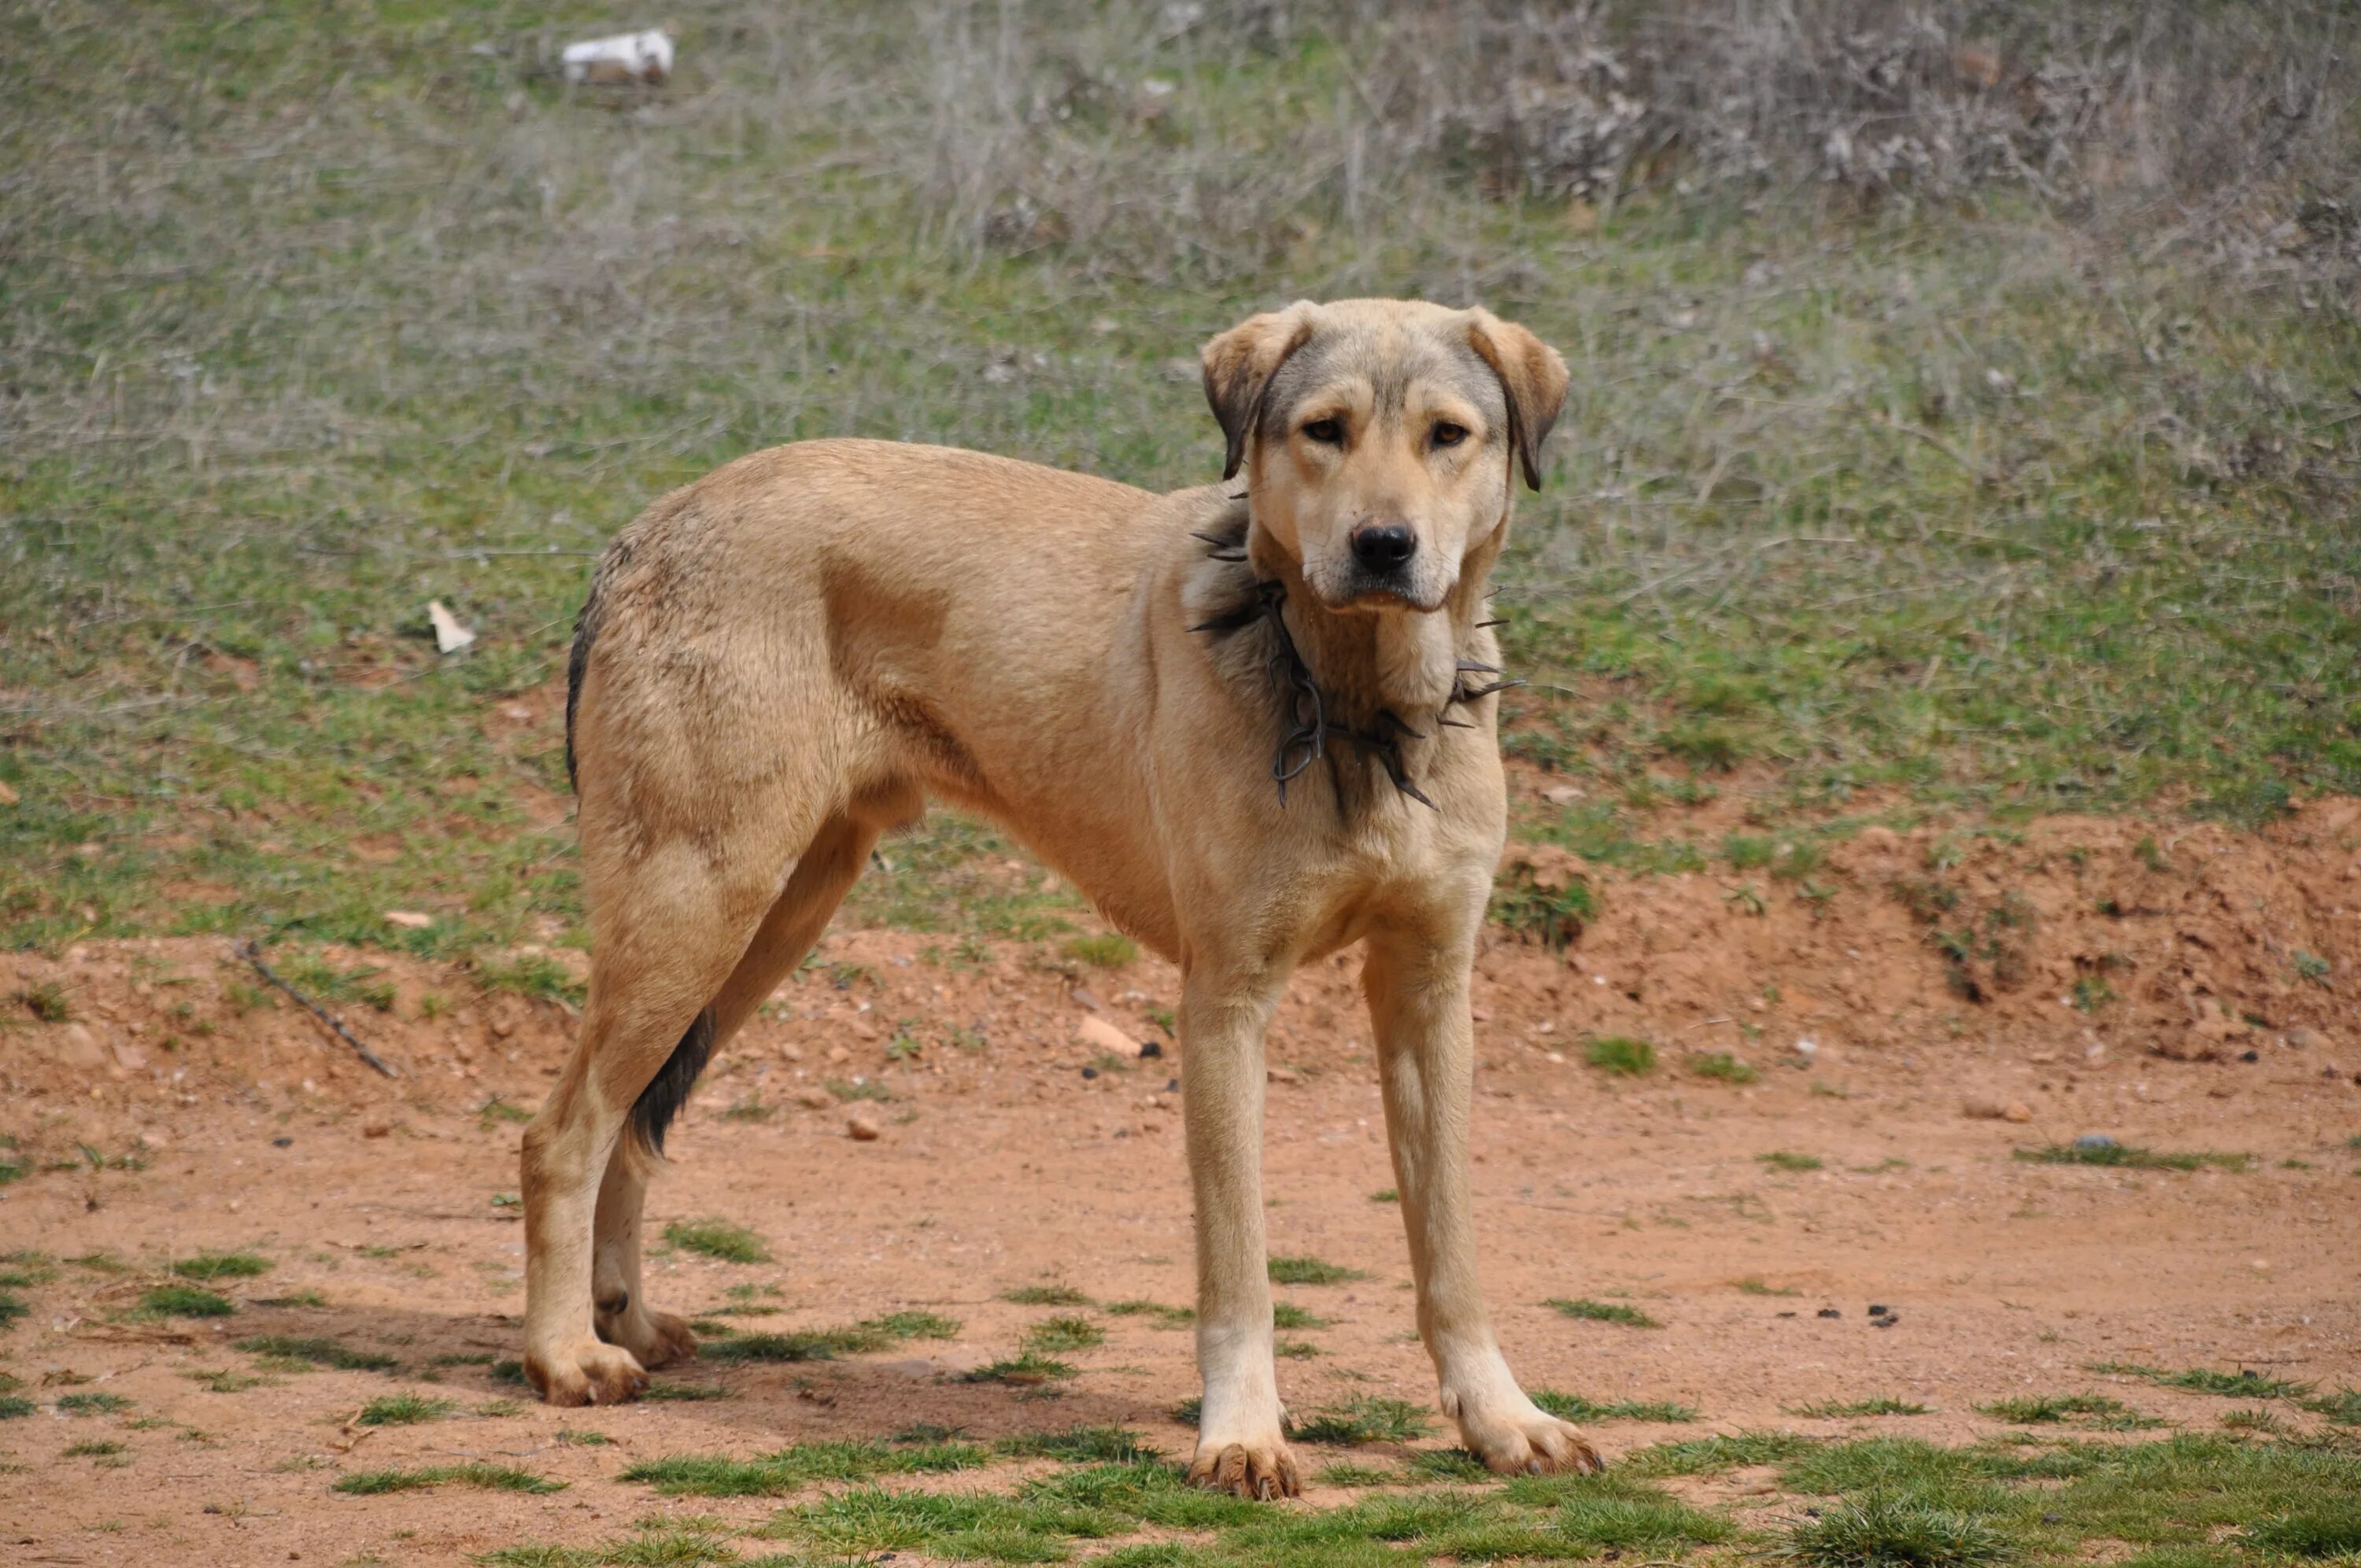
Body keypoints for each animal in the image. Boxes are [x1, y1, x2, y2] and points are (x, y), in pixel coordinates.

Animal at [529, 297, 1605, 1492]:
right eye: (1323, 430)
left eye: (1447, 436)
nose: (1383, 545)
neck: (1359, 706)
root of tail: (649, 523)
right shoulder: (1225, 1003)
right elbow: (1240, 1266)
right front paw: (1241, 1434)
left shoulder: (1428, 995)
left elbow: (1451, 1248)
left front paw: (1500, 1416)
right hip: (700, 906)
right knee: (563, 1136)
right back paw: (566, 1354)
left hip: (764, 925)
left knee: (629, 1128)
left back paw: (623, 1318)